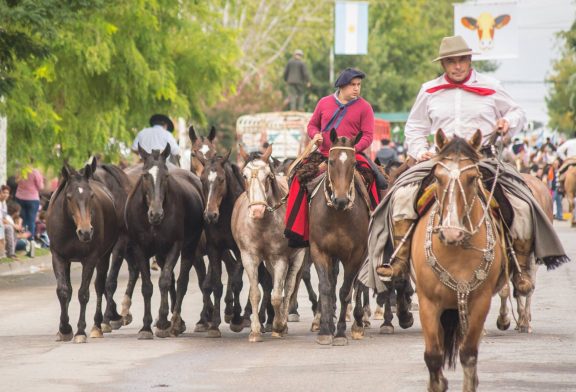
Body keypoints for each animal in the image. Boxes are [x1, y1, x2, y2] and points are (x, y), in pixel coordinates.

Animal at [47, 161, 119, 342]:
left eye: (91, 196)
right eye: (68, 197)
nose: (85, 232)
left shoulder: (91, 258)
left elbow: (83, 293)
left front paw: (80, 331)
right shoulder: (58, 257)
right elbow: (63, 291)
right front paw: (64, 329)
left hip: (104, 257)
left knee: (99, 285)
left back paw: (97, 326)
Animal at [124, 145, 205, 338]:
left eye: (166, 176)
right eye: (145, 175)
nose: (156, 214)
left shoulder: (175, 245)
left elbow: (165, 281)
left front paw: (161, 321)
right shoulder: (139, 248)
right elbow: (147, 286)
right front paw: (146, 327)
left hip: (189, 247)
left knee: (181, 281)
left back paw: (177, 322)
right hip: (160, 253)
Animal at [231, 145, 306, 342]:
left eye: (268, 176)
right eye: (244, 176)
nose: (257, 210)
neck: (263, 223)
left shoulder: (280, 258)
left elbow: (278, 295)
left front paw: (279, 325)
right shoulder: (249, 257)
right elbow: (255, 293)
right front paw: (255, 331)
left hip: (297, 256)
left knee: (288, 287)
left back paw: (282, 322)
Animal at [308, 129, 372, 346]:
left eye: (353, 163)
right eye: (331, 161)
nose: (341, 200)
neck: (337, 214)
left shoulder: (356, 254)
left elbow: (346, 290)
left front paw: (341, 332)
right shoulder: (319, 250)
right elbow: (326, 286)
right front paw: (325, 330)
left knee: (357, 284)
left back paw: (359, 323)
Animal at [410, 130, 504, 390]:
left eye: (472, 178)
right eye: (438, 177)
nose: (451, 233)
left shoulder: (480, 302)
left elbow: (468, 354)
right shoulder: (428, 303)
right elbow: (433, 356)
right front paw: (438, 382)